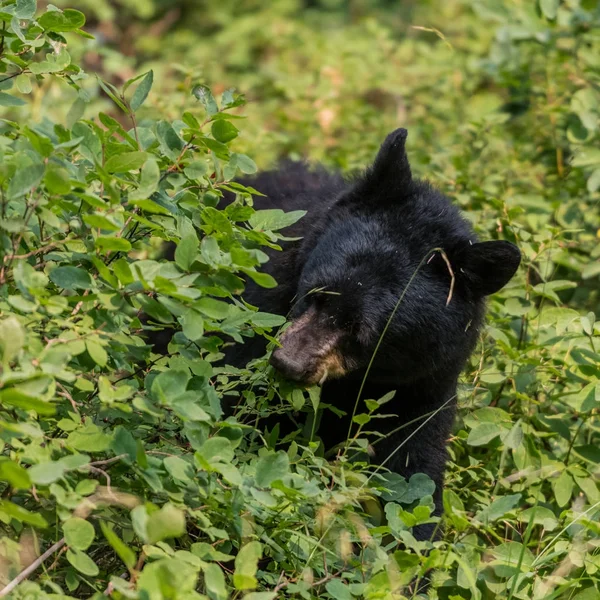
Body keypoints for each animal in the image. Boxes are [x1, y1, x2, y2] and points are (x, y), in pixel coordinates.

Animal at [219, 127, 520, 540]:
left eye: (361, 331)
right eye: (317, 293)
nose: (289, 362)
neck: (360, 381)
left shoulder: (423, 386)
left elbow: (412, 469)